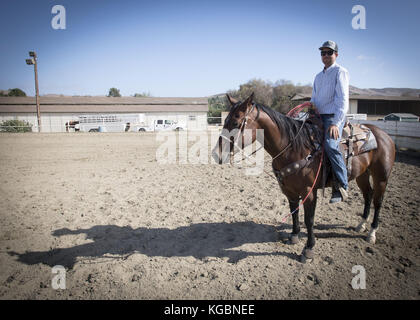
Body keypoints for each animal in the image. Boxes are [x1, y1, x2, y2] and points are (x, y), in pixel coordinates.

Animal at [212, 92, 396, 262]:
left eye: (236, 123)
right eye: (225, 121)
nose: (216, 154)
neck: (294, 148)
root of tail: (383, 135)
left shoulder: (309, 192)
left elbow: (309, 219)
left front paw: (308, 249)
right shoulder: (289, 190)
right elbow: (294, 213)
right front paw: (293, 236)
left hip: (381, 177)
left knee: (378, 201)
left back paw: (371, 232)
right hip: (362, 175)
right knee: (368, 195)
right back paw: (361, 225)